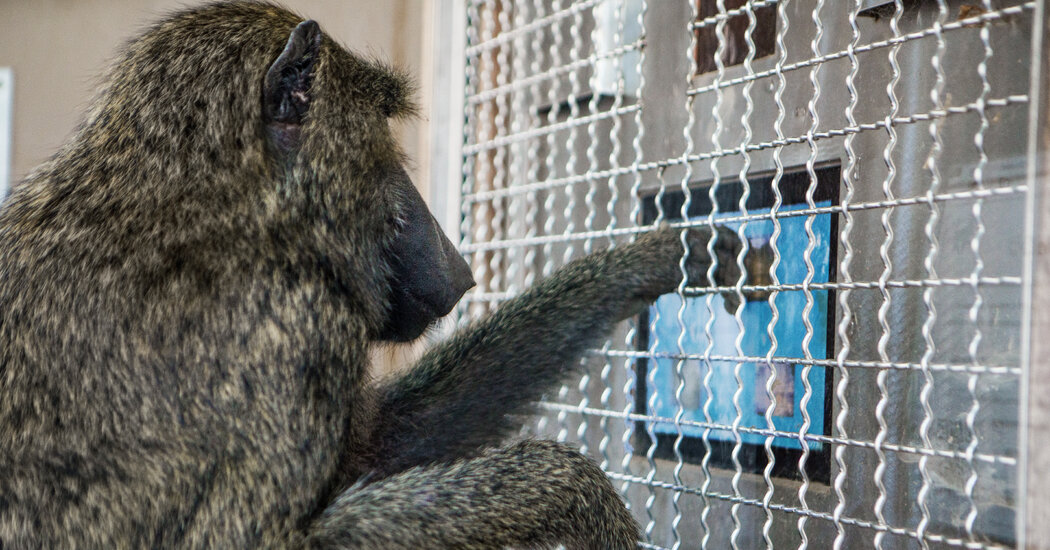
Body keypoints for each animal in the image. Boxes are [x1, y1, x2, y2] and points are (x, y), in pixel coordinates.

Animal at [0, 2, 745, 548]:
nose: (459, 266)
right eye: (383, 135)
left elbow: (385, 445)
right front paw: (573, 489)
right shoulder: (295, 326)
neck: (208, 202)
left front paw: (667, 256)